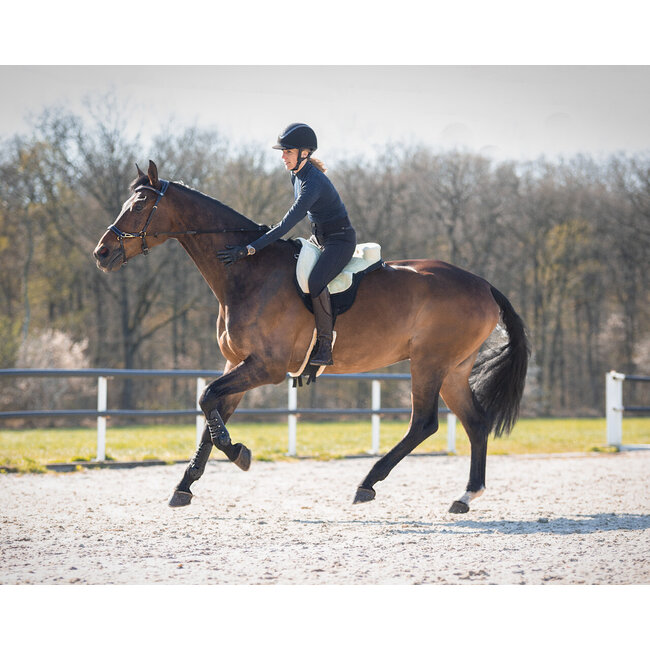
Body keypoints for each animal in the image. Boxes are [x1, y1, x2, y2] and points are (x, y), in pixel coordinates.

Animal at [93, 160, 530, 513]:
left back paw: (367, 484)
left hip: (429, 363)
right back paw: (465, 496)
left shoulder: (265, 367)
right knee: (475, 422)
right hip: (454, 369)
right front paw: (185, 486)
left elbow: (206, 399)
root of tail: (484, 285)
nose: (101, 253)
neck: (246, 274)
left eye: (137, 206)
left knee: (423, 424)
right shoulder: (236, 363)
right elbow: (211, 411)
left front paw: (239, 453)